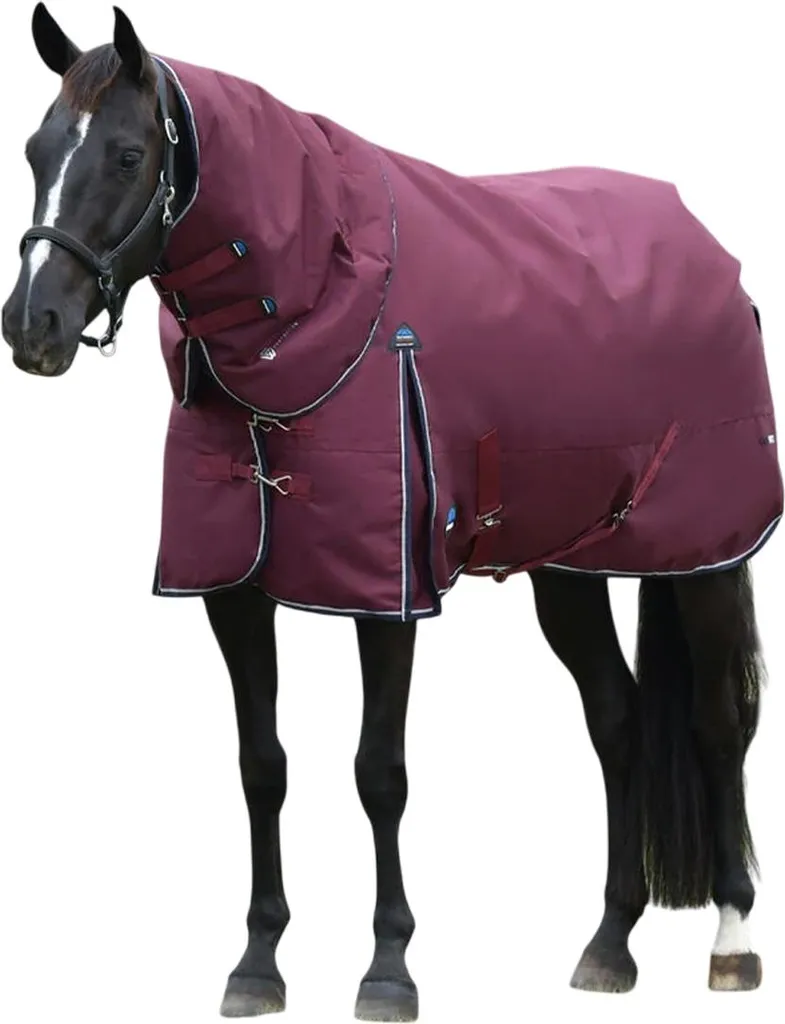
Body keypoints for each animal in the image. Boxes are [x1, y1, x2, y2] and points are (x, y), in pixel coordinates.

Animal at [2, 4, 781, 1019]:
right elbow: (261, 765)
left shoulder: (387, 591)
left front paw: (387, 967)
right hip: (571, 565)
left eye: (129, 154)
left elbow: (380, 772)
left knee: (717, 724)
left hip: (703, 557)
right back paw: (608, 945)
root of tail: (707, 250)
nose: (32, 327)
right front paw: (257, 963)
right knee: (616, 717)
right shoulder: (232, 592)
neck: (317, 305)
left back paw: (731, 942)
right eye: (34, 149)